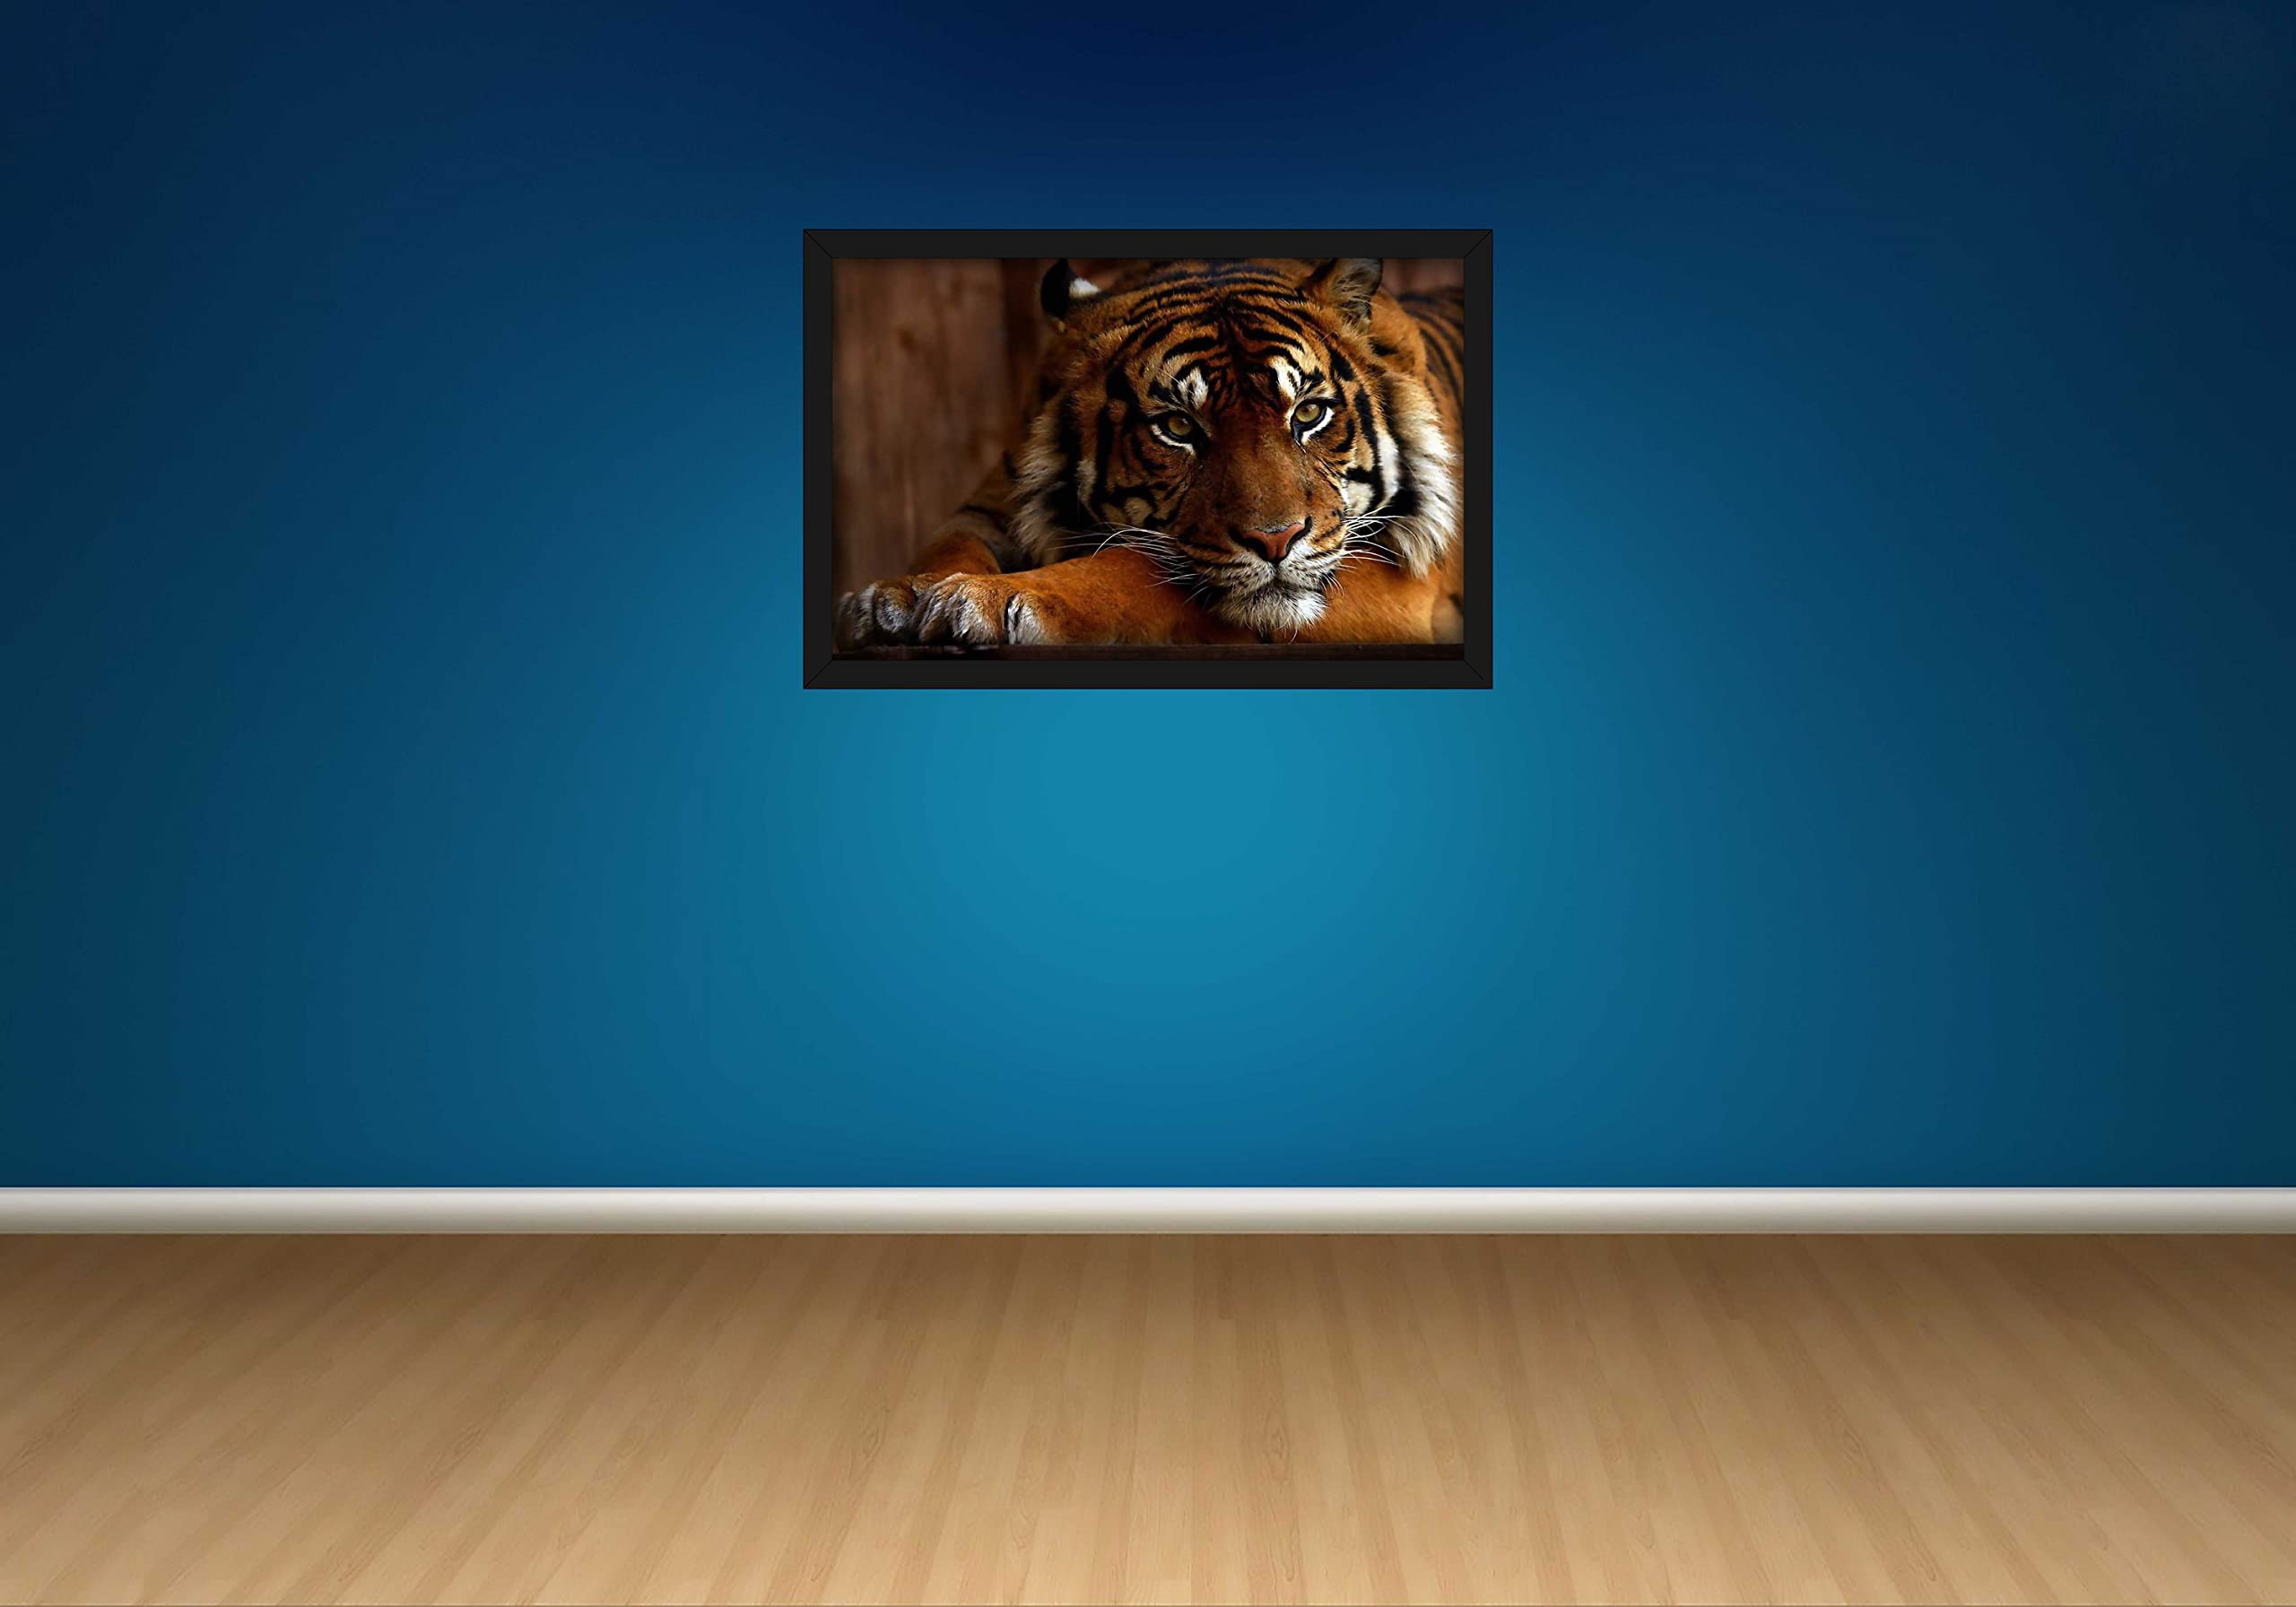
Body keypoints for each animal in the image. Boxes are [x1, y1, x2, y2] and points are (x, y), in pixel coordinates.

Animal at [833, 257, 1467, 648]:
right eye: (1178, 427)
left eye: (1308, 414)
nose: (1276, 541)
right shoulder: (989, 508)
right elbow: (949, 545)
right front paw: (891, 599)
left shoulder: (1396, 577)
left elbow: (1130, 567)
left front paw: (990, 599)